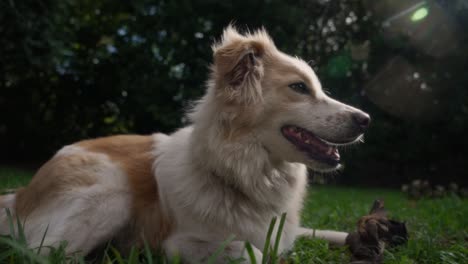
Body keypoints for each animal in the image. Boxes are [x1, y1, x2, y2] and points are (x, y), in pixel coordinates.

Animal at [0, 26, 372, 262]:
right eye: (298, 88)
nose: (366, 119)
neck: (237, 174)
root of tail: (20, 195)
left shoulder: (285, 230)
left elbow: (324, 232)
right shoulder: (180, 244)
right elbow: (249, 251)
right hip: (111, 192)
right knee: (42, 253)